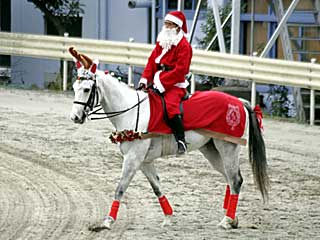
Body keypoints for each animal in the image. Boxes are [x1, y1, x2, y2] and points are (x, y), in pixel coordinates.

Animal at [69, 48, 268, 231]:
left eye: (86, 89)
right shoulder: (144, 161)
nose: (75, 117)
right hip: (211, 150)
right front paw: (168, 217)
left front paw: (108, 221)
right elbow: (157, 187)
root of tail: (240, 102)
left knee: (235, 180)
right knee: (229, 178)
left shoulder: (133, 159)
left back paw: (227, 220)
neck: (130, 111)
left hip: (228, 148)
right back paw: (232, 218)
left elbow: (120, 188)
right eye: (74, 88)